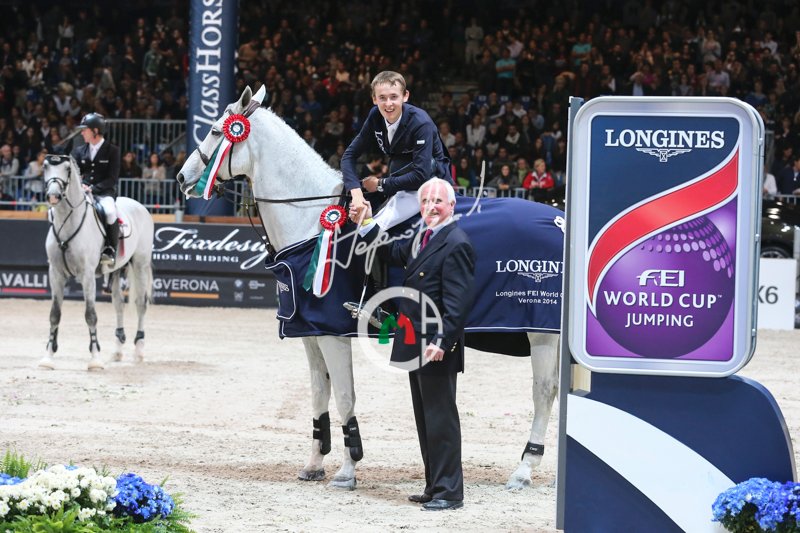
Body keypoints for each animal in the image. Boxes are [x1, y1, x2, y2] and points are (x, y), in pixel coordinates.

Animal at [40, 154, 154, 371]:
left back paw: (139, 351)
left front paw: (94, 360)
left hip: (140, 264)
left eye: (67, 169)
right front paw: (48, 358)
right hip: (116, 270)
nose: (53, 196)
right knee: (118, 305)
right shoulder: (56, 274)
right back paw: (117, 351)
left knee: (141, 305)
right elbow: (54, 314)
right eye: (45, 167)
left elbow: (90, 315)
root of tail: (139, 205)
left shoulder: (87, 275)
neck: (67, 222)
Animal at [176, 86, 561, 491]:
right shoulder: (310, 332)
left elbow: (345, 397)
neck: (312, 221)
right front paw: (314, 463)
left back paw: (524, 469)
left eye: (216, 131)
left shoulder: (332, 334)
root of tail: (559, 219)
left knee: (544, 391)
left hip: (541, 331)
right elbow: (319, 395)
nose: (182, 177)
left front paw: (348, 470)